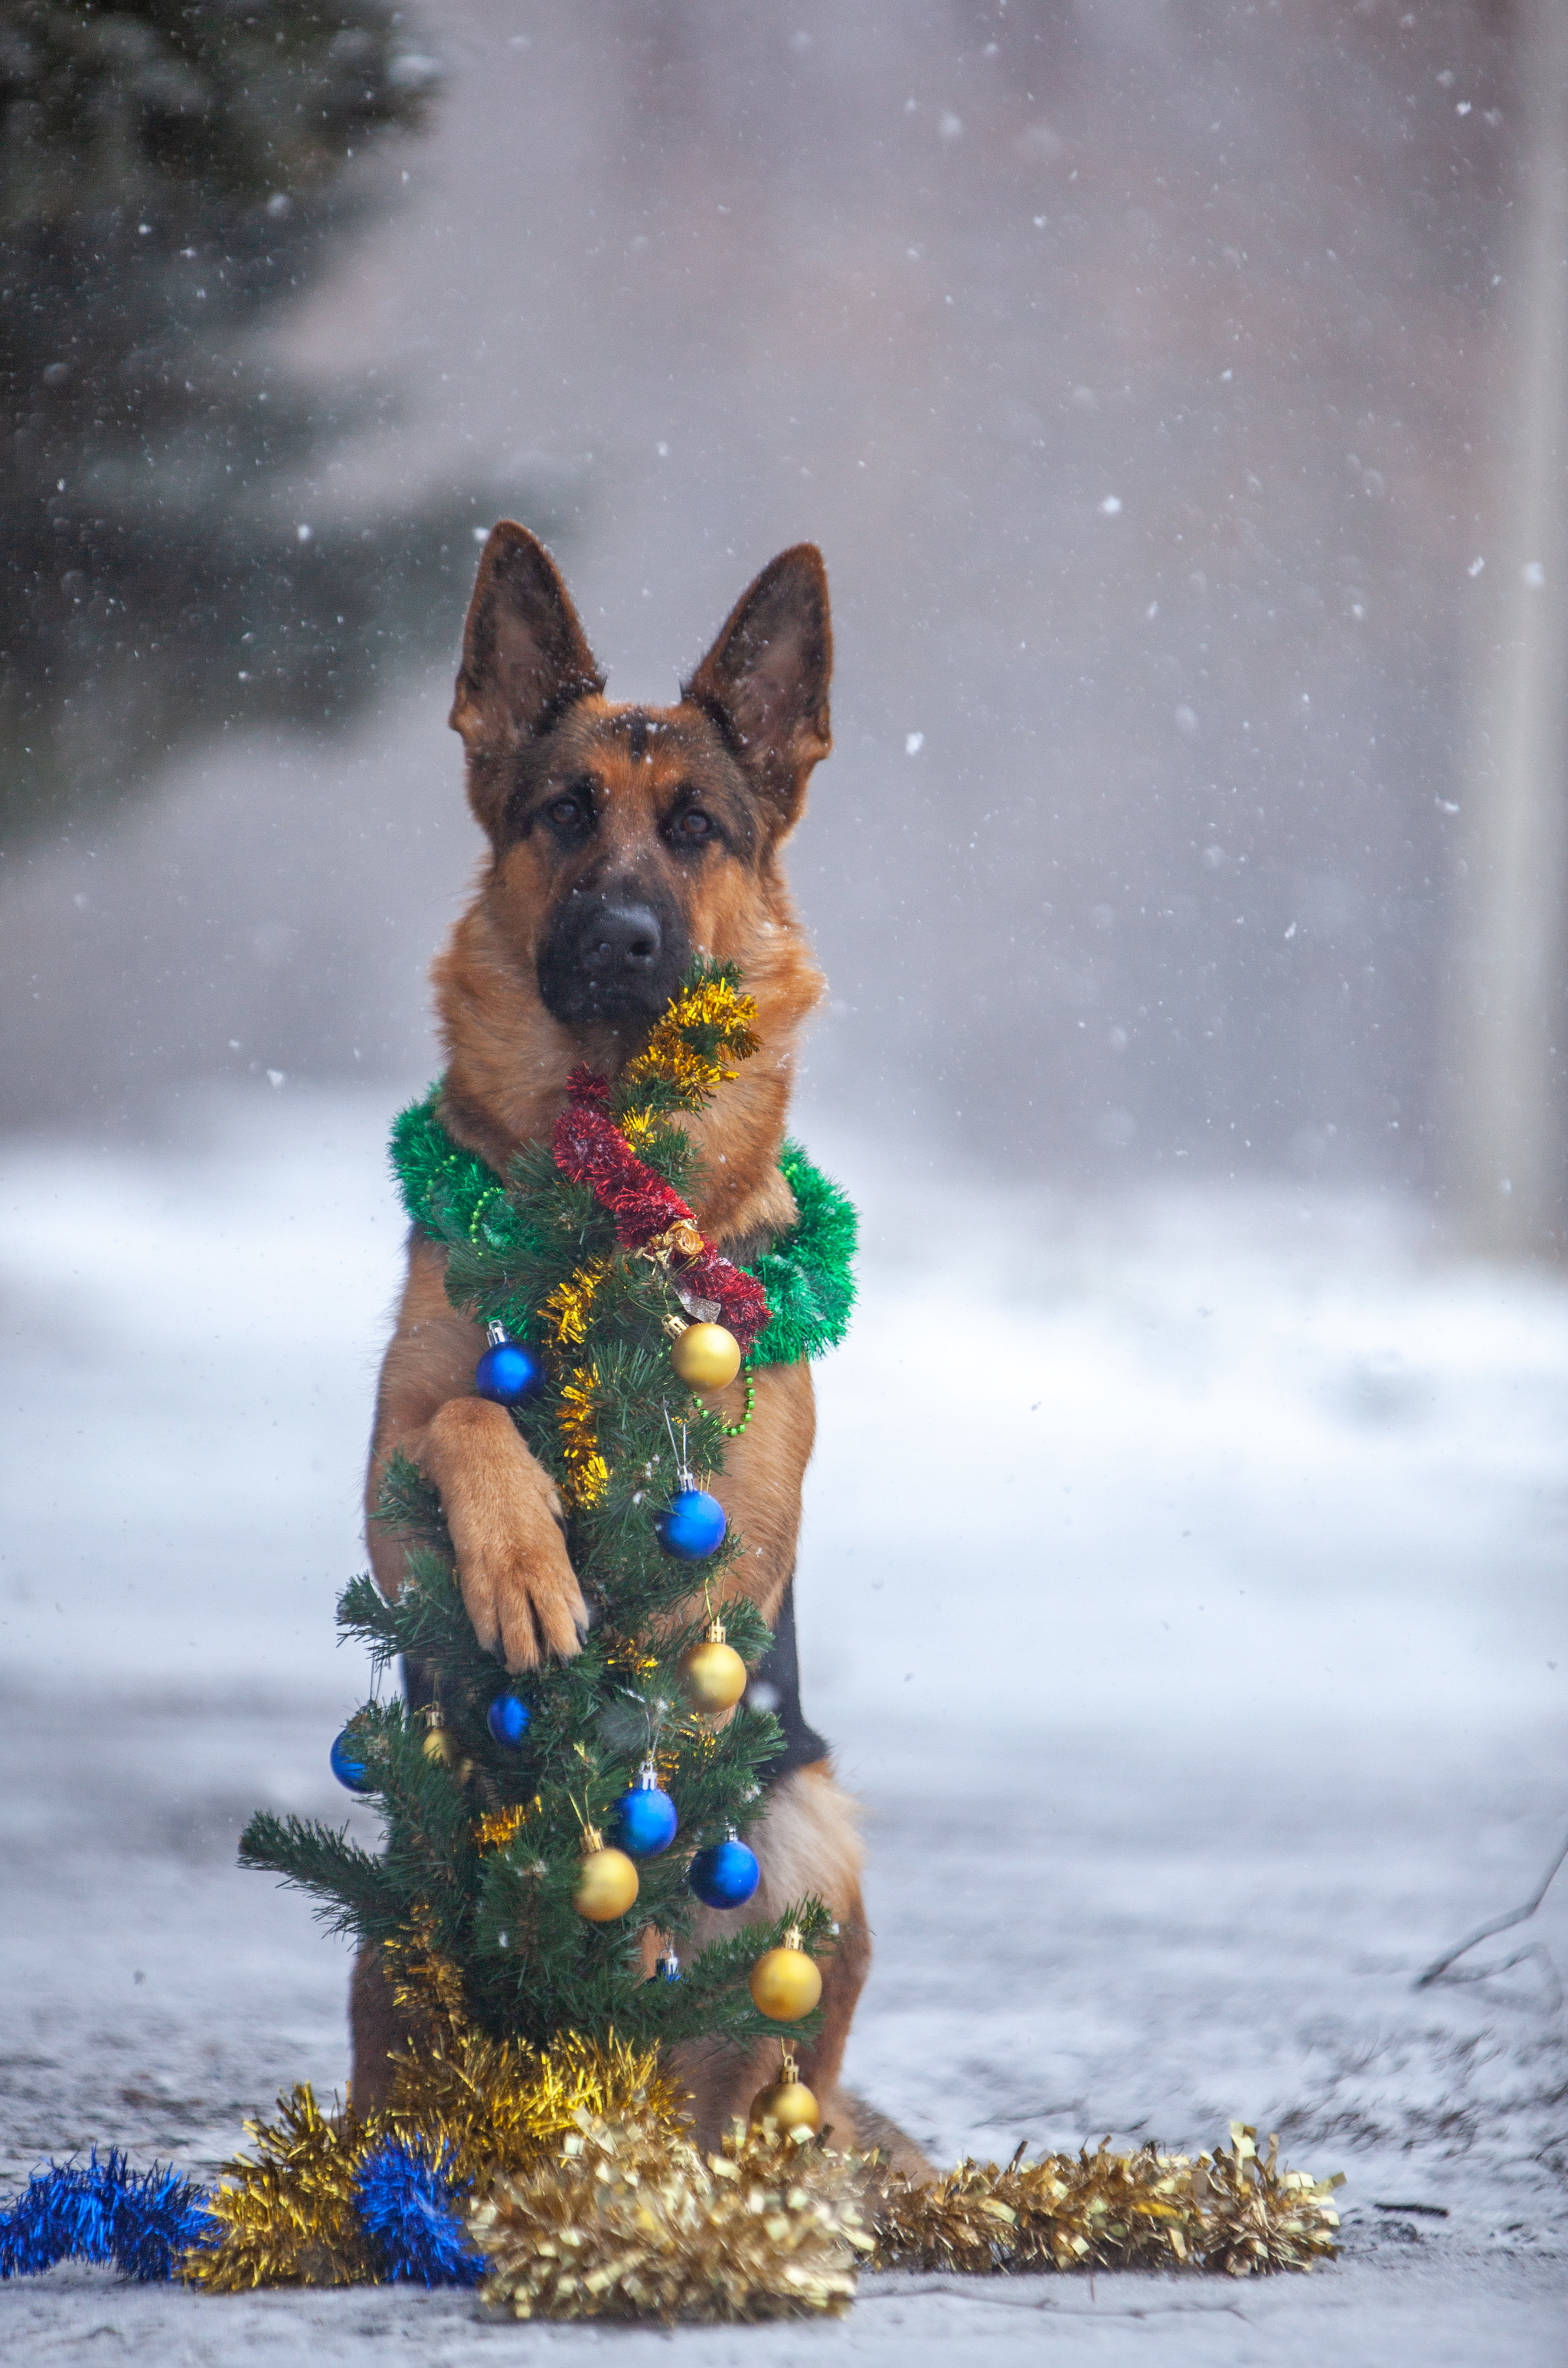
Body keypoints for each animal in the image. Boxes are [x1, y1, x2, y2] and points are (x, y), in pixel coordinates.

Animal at [355, 527, 923, 2169]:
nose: (620, 936)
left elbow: (662, 1671)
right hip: (403, 1888)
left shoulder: (733, 1523)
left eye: (694, 831)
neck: (606, 1195)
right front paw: (529, 1567)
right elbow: (466, 1424)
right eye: (563, 813)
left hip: (807, 1830)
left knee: (746, 2068)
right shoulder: (388, 1482)